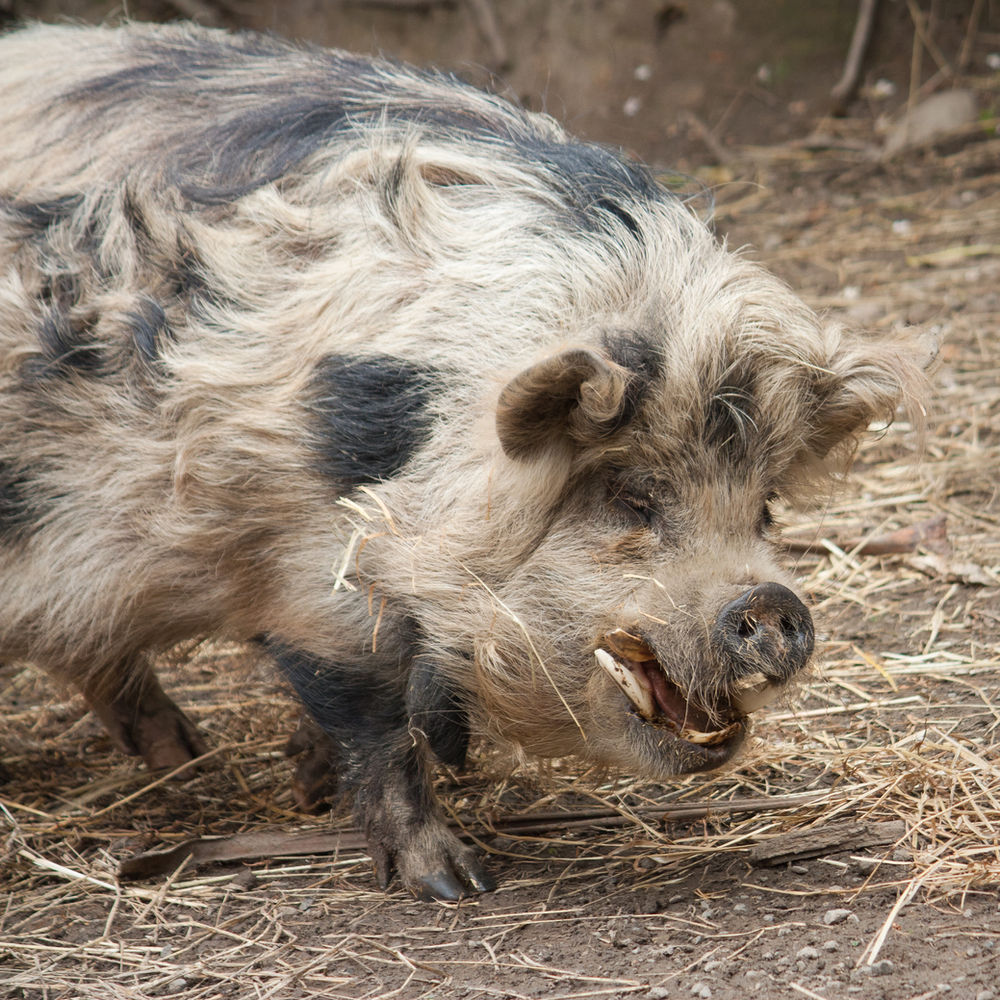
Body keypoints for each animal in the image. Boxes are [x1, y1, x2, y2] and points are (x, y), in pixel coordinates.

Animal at [0, 22, 930, 900]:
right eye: (631, 498)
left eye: (763, 507)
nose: (772, 602)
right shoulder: (309, 570)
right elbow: (373, 722)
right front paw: (455, 884)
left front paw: (316, 790)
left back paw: (190, 764)